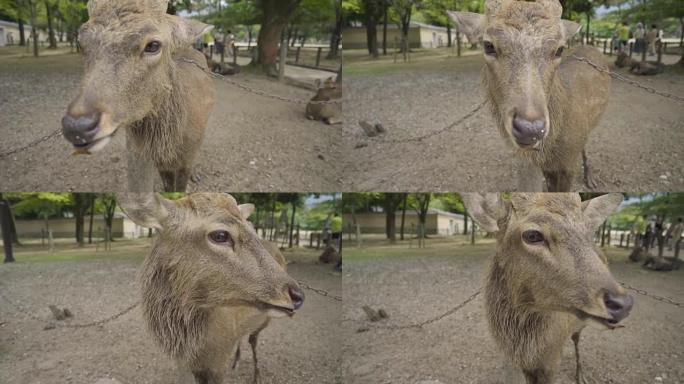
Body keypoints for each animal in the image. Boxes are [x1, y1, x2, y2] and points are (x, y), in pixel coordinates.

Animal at [119, 194, 304, 384]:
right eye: (221, 235)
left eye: (253, 232)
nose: (297, 295)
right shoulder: (183, 363)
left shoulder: (218, 362)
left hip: (265, 320)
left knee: (253, 339)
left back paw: (256, 376)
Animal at [448, 0, 616, 192]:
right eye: (488, 45)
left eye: (559, 49)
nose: (530, 129)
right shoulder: (545, 167)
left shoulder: (568, 165)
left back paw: (590, 179)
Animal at [462, 194, 632, 384]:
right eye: (532, 235)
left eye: (590, 235)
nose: (623, 303)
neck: (525, 349)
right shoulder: (516, 363)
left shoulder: (552, 359)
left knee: (576, 339)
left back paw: (581, 375)